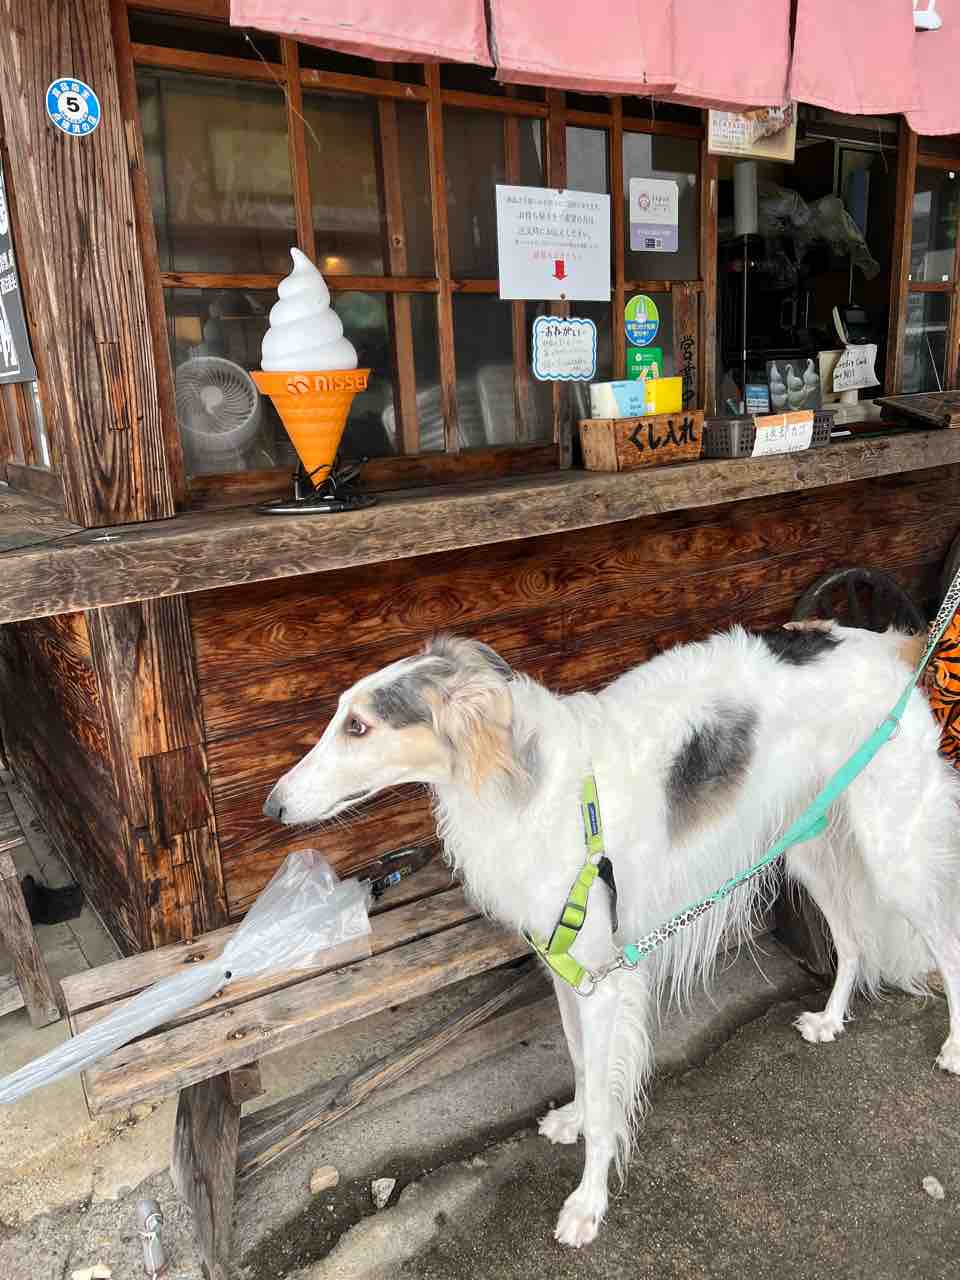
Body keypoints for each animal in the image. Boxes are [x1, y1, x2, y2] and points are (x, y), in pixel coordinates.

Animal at [264, 626, 960, 1248]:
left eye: (358, 726)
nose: (272, 807)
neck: (528, 785)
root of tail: (892, 644)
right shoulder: (567, 968)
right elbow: (580, 1068)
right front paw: (573, 1117)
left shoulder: (603, 981)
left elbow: (607, 1108)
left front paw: (587, 1205)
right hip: (809, 845)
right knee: (855, 940)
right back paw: (830, 1020)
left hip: (892, 855)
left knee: (946, 945)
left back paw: (952, 1048)